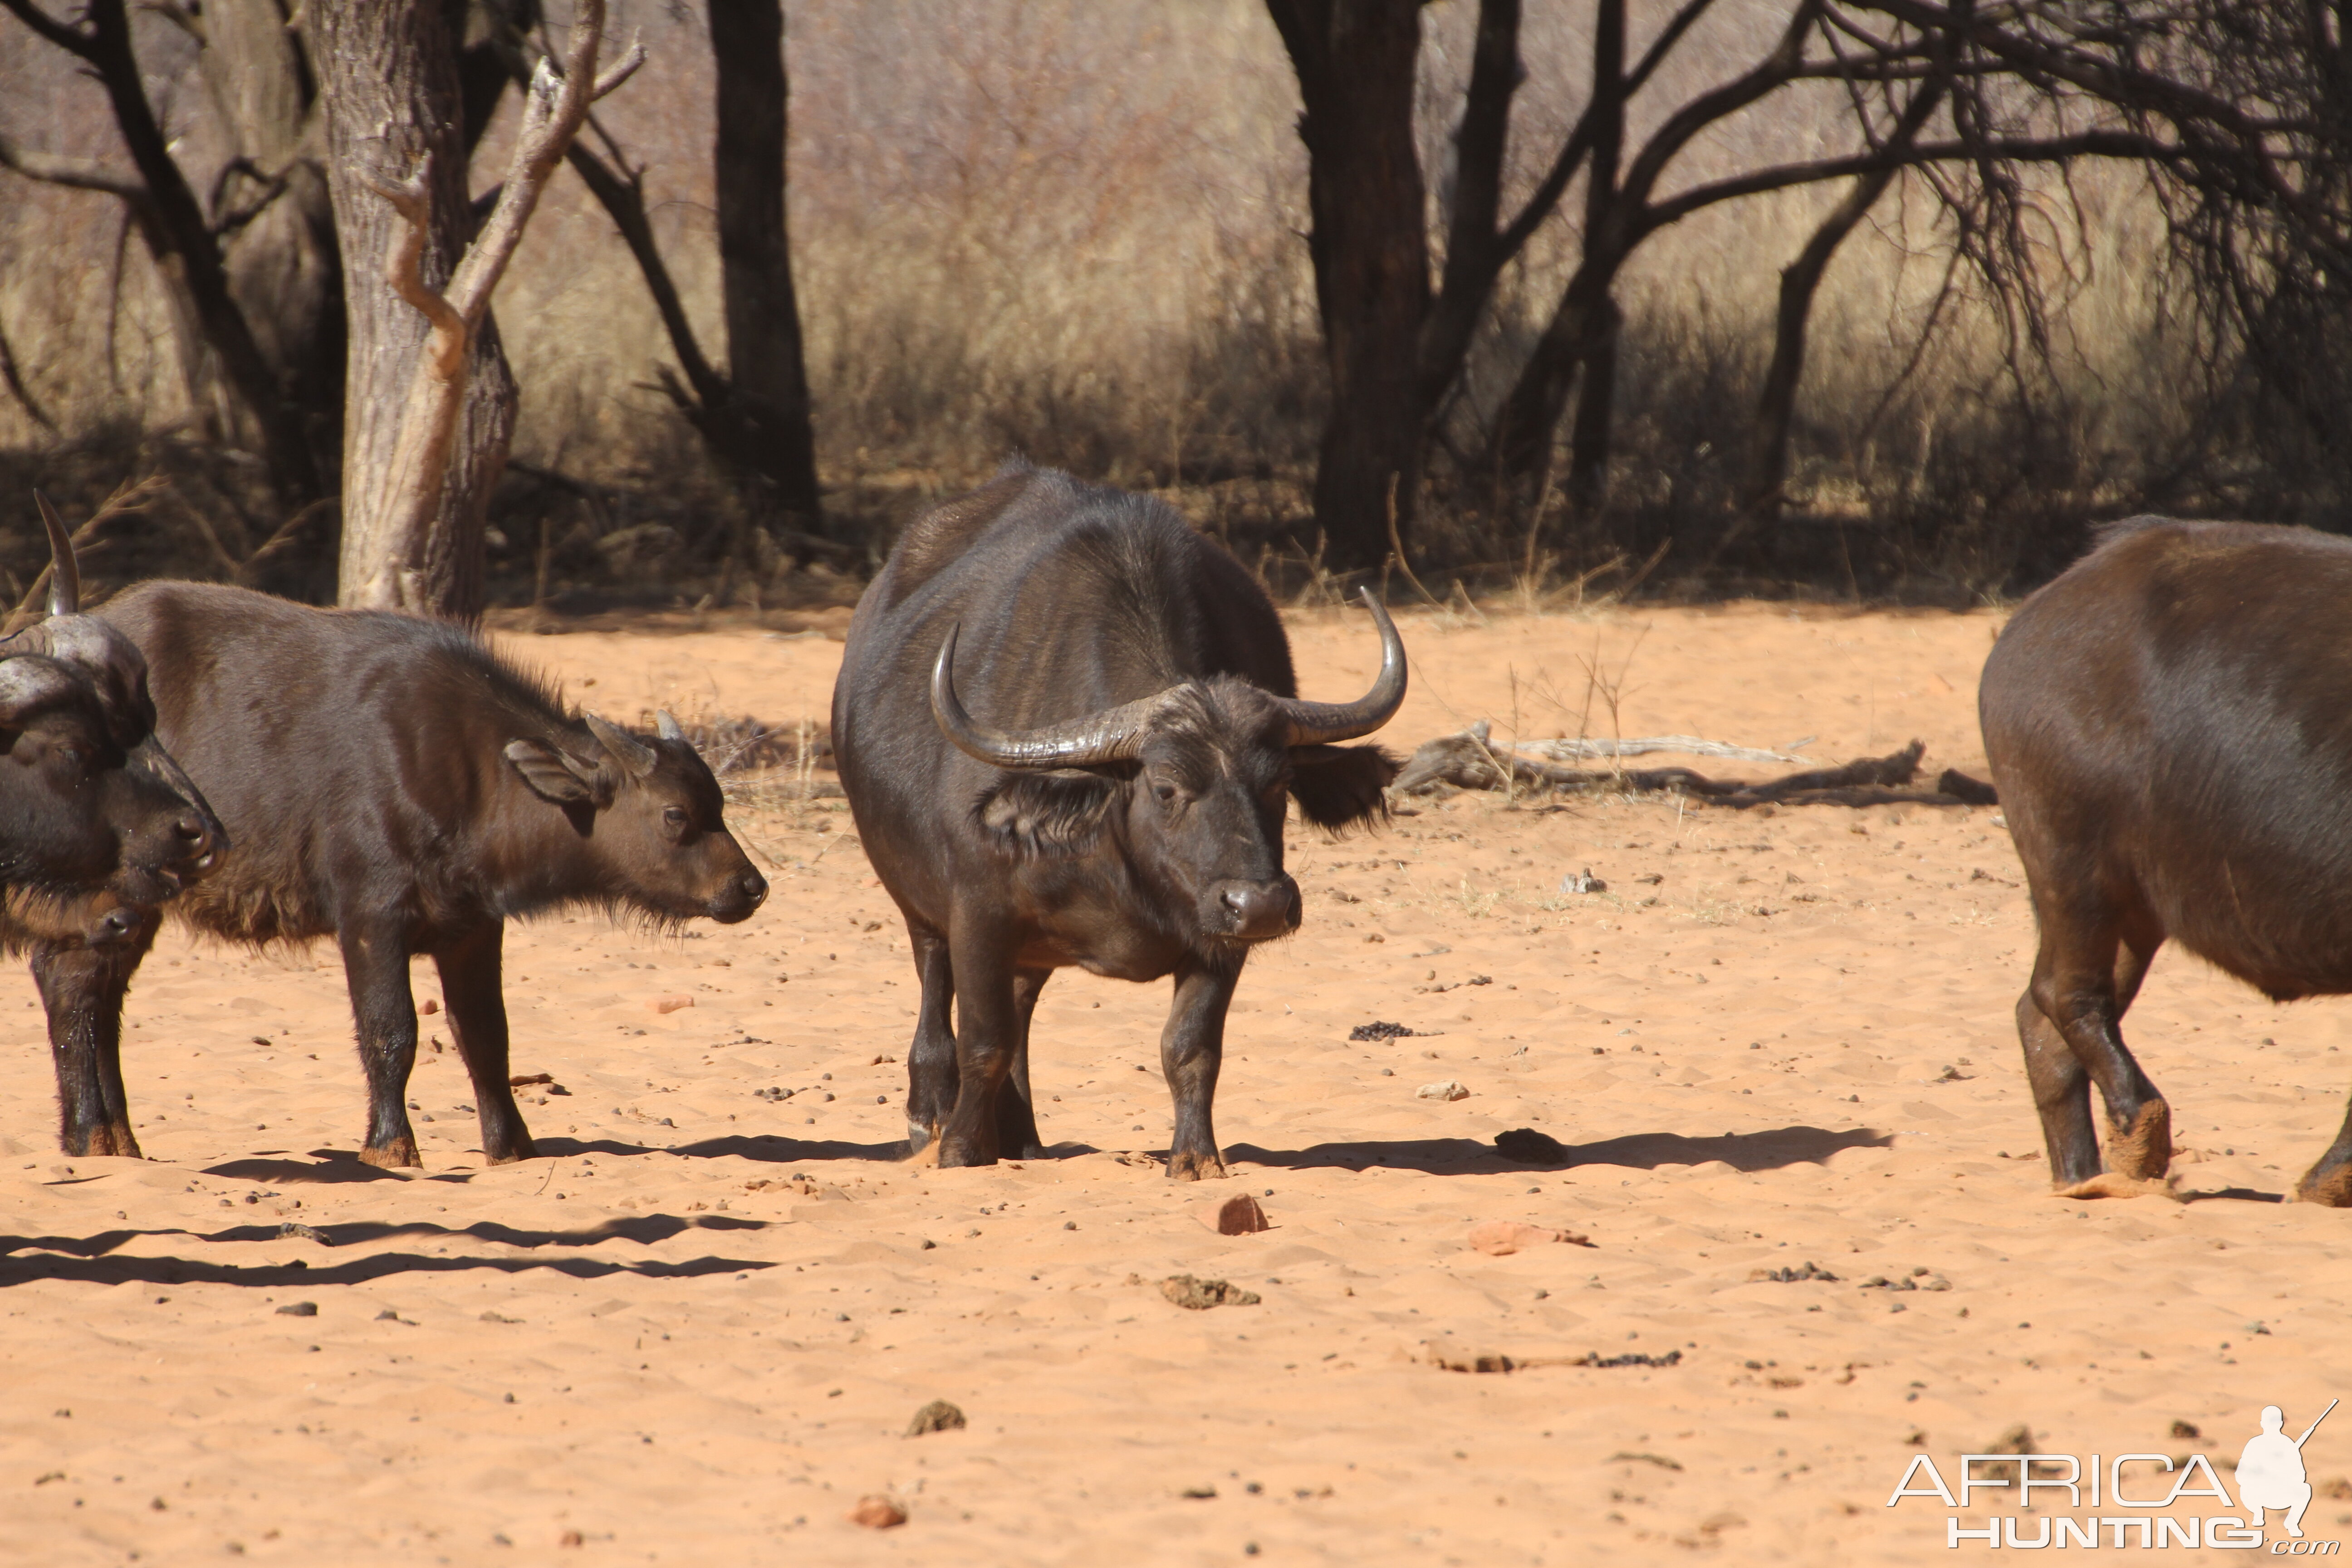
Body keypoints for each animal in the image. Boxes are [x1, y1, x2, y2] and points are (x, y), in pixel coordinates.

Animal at [39, 588, 771, 1166]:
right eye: (676, 815)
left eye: (719, 803)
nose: (751, 887)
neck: (470, 772)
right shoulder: (370, 918)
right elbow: (392, 1032)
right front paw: (392, 1145)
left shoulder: (474, 929)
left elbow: (487, 1037)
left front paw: (511, 1146)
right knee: (73, 987)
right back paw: (88, 1135)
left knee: (103, 999)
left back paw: (118, 1137)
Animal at [837, 463, 1401, 1175]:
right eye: (1165, 788)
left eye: (1278, 784)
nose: (1263, 905)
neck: (1115, 851)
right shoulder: (978, 914)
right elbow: (983, 1041)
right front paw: (962, 1152)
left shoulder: (1217, 935)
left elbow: (1189, 1047)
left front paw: (1196, 1158)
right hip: (918, 905)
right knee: (939, 1001)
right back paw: (933, 1120)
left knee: (1021, 1011)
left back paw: (1022, 1137)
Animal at [1985, 522, 2352, 1213]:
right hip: (2072, 866)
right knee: (2067, 995)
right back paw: (2140, 1137)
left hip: (2134, 907)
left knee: (2041, 1018)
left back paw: (2082, 1177)